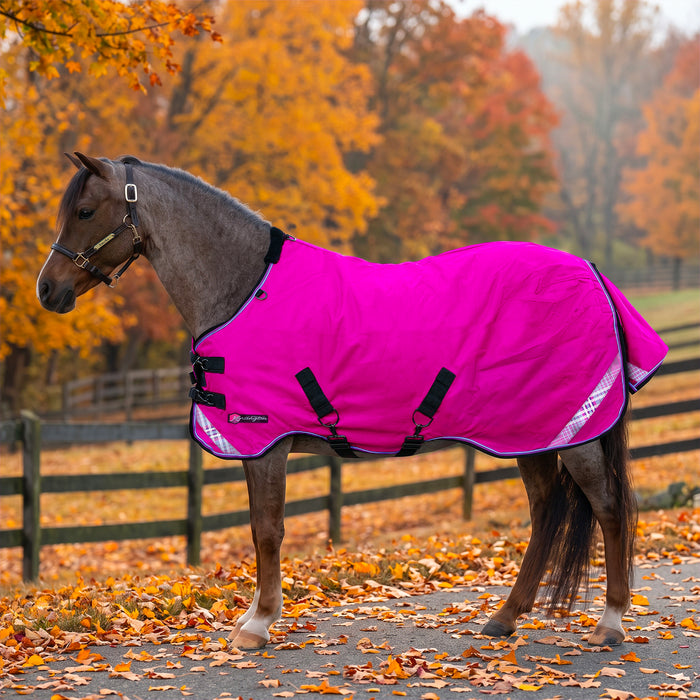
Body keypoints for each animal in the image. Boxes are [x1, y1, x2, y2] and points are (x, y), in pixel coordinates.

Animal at [37, 153, 667, 650]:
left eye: (86, 211)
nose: (48, 290)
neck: (242, 289)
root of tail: (592, 274)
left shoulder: (264, 441)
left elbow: (267, 530)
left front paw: (257, 625)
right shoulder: (257, 447)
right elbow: (259, 528)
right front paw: (253, 618)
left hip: (574, 432)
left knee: (609, 509)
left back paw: (610, 623)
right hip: (531, 433)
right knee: (545, 511)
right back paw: (505, 618)